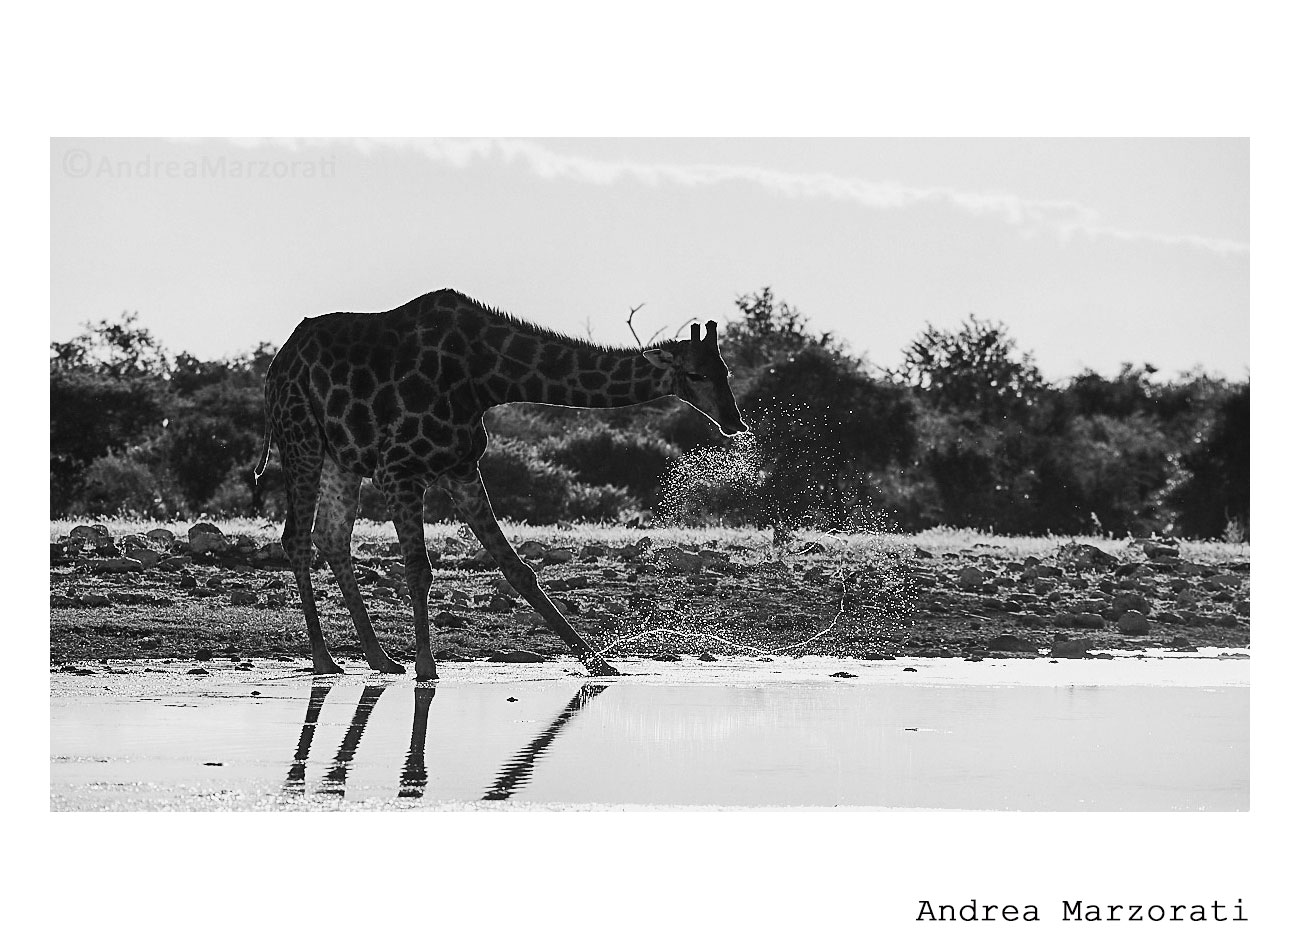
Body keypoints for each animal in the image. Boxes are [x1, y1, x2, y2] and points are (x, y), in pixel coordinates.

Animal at [255, 289, 747, 680]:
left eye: (726, 370)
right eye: (697, 375)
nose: (734, 422)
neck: (485, 378)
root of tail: (277, 365)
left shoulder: (461, 468)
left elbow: (517, 569)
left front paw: (600, 663)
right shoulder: (400, 470)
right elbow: (419, 569)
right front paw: (427, 666)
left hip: (342, 456)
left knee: (331, 535)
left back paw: (379, 658)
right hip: (301, 436)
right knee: (297, 536)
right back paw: (324, 659)